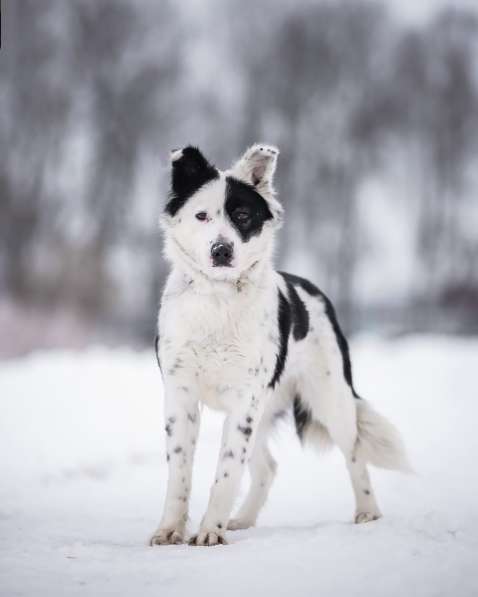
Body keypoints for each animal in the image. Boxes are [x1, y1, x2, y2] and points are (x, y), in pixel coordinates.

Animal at [150, 143, 410, 544]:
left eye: (242, 216)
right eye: (201, 216)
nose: (221, 250)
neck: (218, 299)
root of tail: (312, 289)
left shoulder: (243, 400)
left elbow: (226, 472)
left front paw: (210, 533)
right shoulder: (181, 395)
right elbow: (180, 471)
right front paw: (170, 530)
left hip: (329, 397)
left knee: (354, 454)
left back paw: (368, 511)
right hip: (266, 408)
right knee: (268, 467)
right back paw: (243, 519)